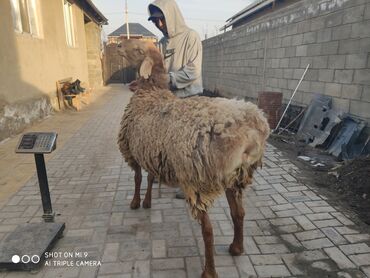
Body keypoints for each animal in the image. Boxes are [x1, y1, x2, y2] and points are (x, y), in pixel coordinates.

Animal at [117, 38, 270, 278]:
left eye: (138, 49)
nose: (117, 47)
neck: (151, 91)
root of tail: (251, 134)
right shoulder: (151, 151)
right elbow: (149, 178)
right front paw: (147, 201)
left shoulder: (132, 150)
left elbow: (138, 178)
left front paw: (135, 202)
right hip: (235, 178)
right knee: (239, 213)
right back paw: (236, 248)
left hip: (197, 180)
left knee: (208, 230)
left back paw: (209, 271)